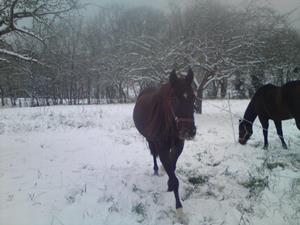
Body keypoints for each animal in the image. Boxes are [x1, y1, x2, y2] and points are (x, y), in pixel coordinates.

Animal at [132, 68, 196, 213]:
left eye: (193, 97)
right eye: (174, 99)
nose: (189, 132)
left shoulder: (179, 146)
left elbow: (172, 166)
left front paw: (169, 184)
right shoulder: (162, 148)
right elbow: (172, 175)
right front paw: (179, 208)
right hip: (150, 139)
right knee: (153, 154)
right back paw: (156, 170)